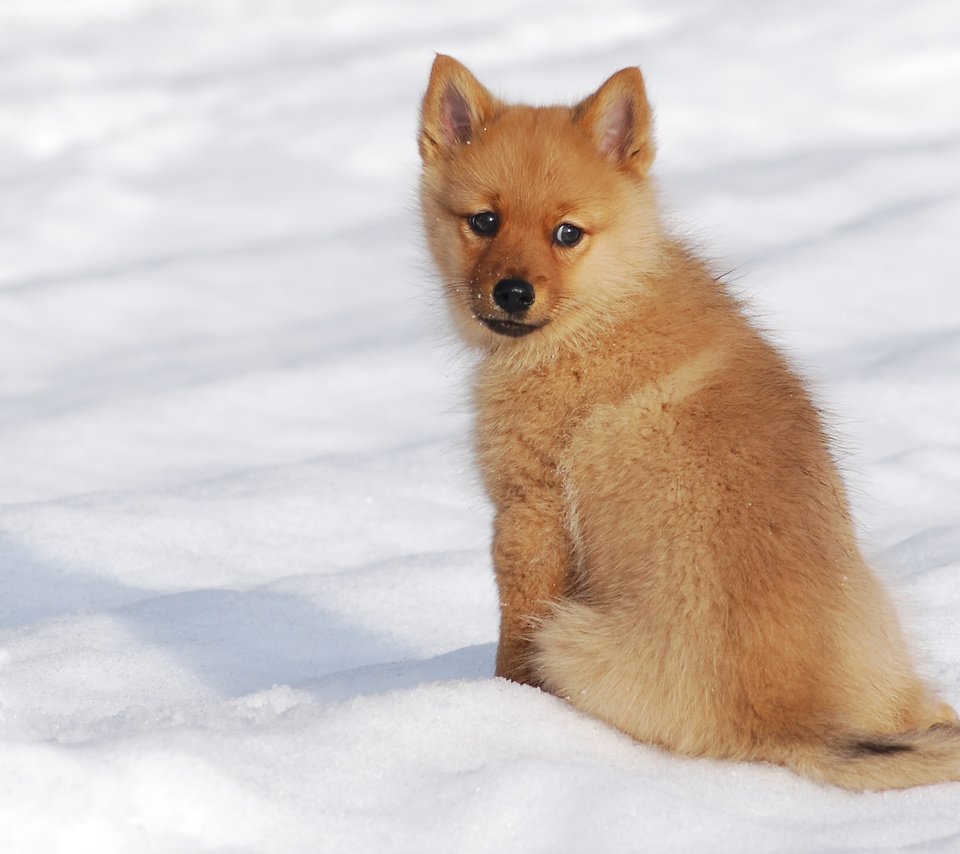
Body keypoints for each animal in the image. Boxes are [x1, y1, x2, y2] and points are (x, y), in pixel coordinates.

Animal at [416, 51, 956, 788]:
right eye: (484, 222)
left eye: (567, 233)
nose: (513, 293)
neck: (603, 312)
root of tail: (795, 722)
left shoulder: (530, 514)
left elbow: (513, 643)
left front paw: (502, 706)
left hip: (572, 638)